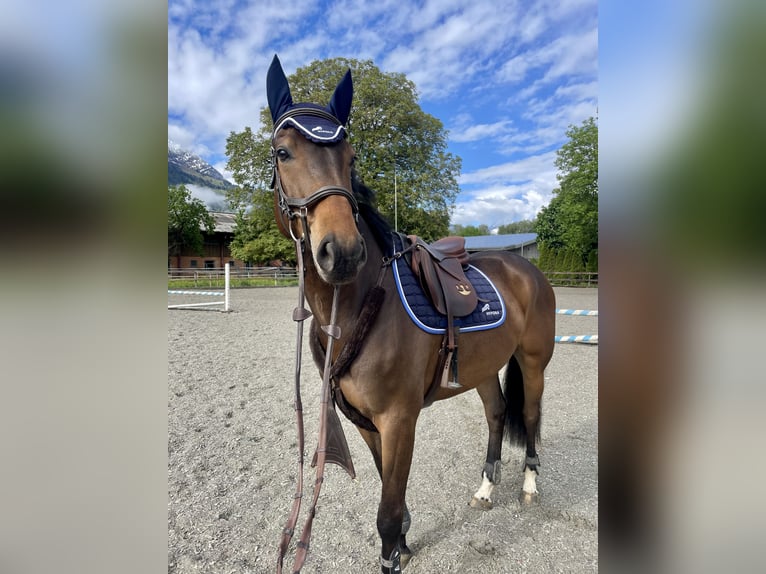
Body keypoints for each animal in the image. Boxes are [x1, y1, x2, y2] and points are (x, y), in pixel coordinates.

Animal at [268, 55, 556, 574]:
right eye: (283, 153)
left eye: (352, 158)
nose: (342, 252)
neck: (360, 307)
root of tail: (527, 266)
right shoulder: (367, 424)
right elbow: (391, 495)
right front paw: (402, 542)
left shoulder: (399, 419)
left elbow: (387, 511)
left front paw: (394, 551)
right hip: (483, 368)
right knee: (497, 415)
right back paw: (486, 489)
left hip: (533, 363)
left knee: (529, 415)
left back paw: (528, 486)